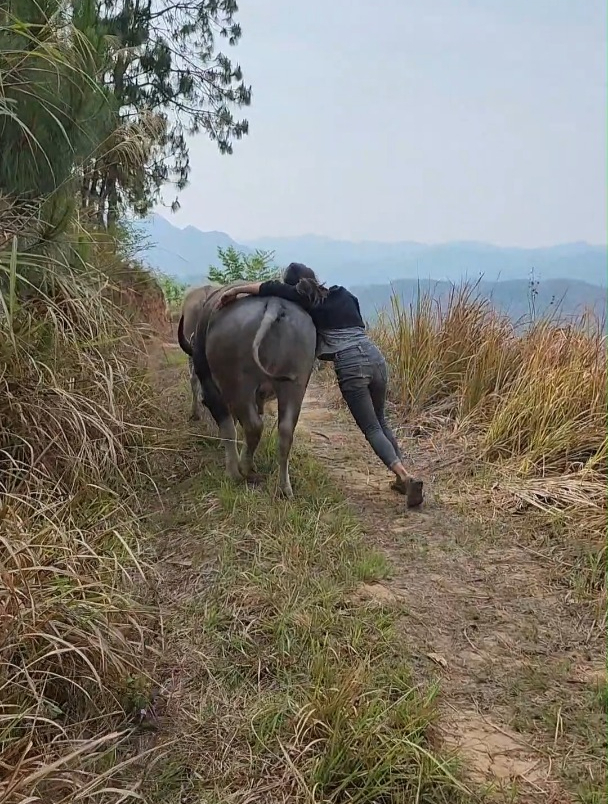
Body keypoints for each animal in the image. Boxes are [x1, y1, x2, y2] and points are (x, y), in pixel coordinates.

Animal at [178, 282, 316, 496]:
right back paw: (284, 488)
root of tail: (274, 304)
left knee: (253, 425)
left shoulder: (211, 388)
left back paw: (243, 470)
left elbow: (228, 427)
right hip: (296, 385)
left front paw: (231, 470)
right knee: (285, 432)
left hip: (238, 384)